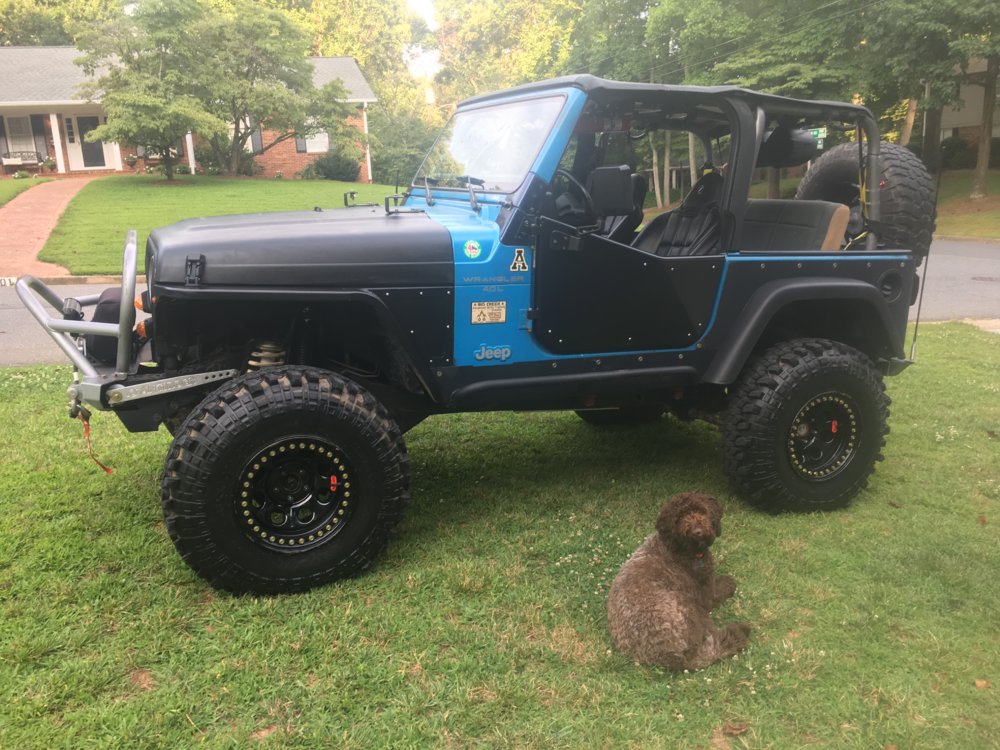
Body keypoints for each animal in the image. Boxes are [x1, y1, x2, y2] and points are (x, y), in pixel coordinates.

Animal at [607, 493, 750, 670]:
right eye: (679, 517)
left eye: (701, 511)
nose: (697, 531)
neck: (679, 548)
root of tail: (676, 658)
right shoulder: (706, 594)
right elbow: (721, 589)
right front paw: (728, 583)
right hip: (689, 607)